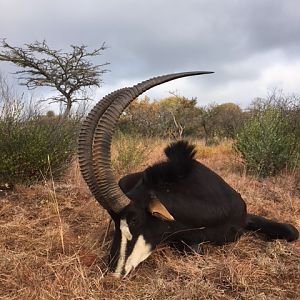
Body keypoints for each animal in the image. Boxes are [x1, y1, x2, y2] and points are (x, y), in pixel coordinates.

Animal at [78, 71, 298, 278]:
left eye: (134, 219)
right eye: (115, 221)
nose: (114, 271)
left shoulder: (245, 218)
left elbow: (292, 231)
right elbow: (194, 247)